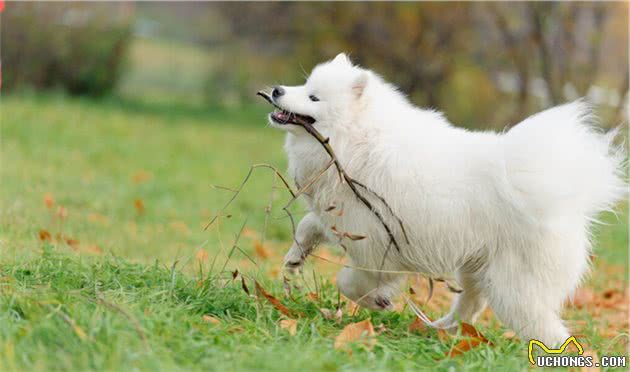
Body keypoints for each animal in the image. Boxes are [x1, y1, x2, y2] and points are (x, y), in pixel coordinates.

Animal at [266, 53, 628, 346]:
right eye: (303, 84)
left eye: (313, 97)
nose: (277, 90)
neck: (359, 140)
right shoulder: (341, 217)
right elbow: (308, 226)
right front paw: (294, 259)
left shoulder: (377, 247)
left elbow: (350, 281)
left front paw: (377, 301)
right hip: (477, 267)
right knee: (470, 305)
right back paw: (440, 329)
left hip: (513, 288)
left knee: (543, 327)